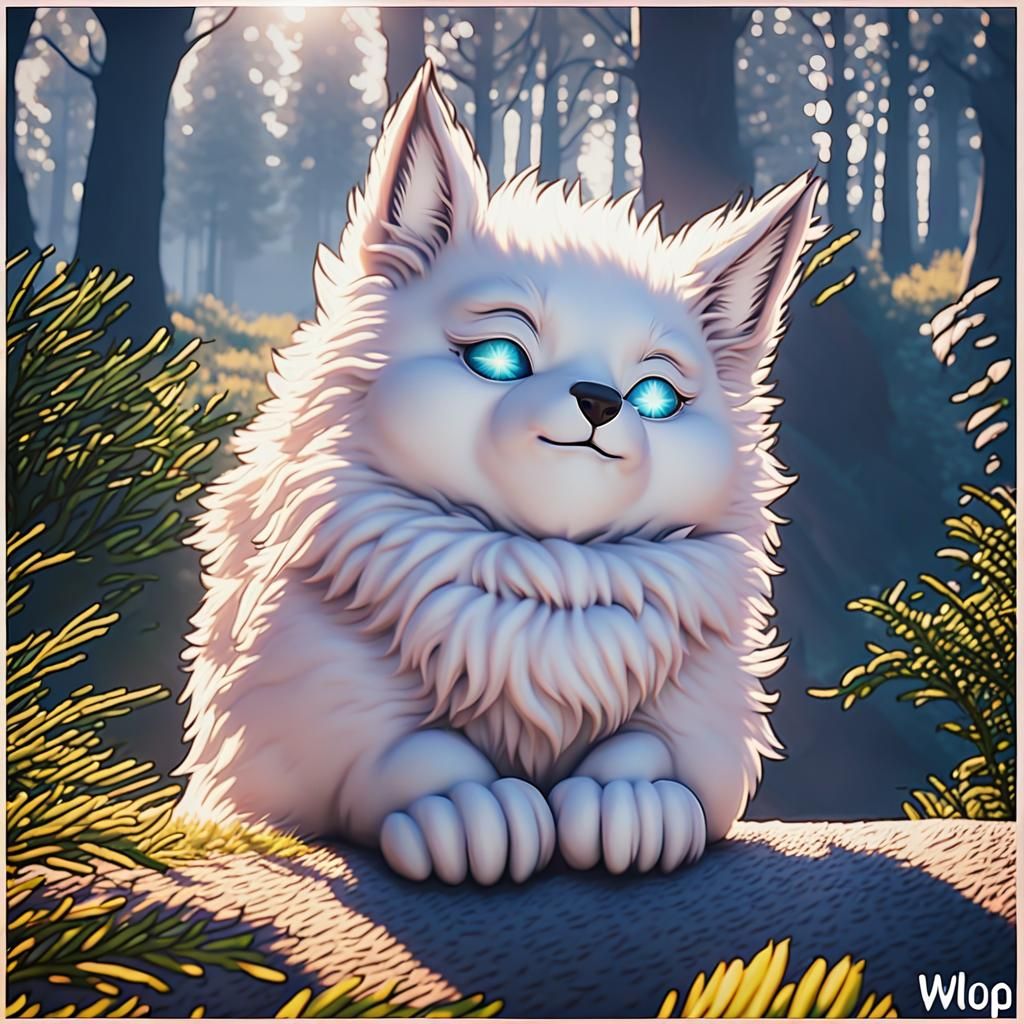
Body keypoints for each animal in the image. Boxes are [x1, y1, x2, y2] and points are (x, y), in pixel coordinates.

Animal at [177, 62, 825, 885]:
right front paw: (469, 813)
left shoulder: (709, 708)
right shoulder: (297, 702)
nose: (601, 400)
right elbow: (410, 752)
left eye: (656, 398)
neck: (542, 583)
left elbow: (652, 753)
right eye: (497, 359)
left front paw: (631, 807)